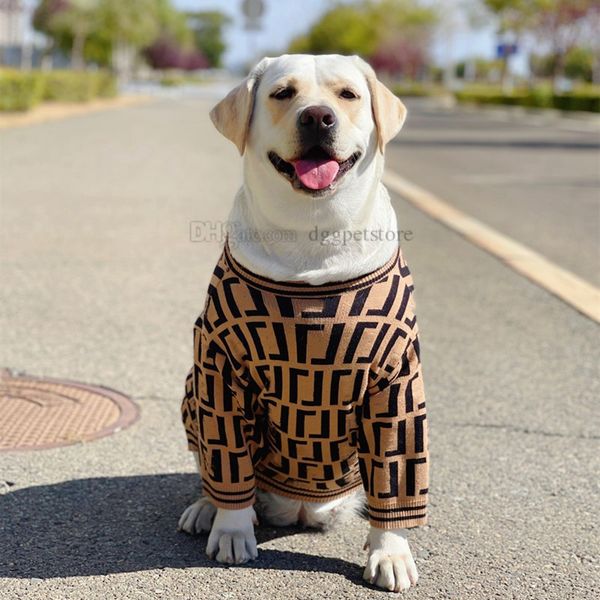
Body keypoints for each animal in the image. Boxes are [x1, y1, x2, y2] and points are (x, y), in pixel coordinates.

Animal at [177, 54, 426, 592]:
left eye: (348, 95)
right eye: (282, 93)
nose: (317, 117)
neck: (313, 233)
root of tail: (300, 510)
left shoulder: (396, 385)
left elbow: (396, 478)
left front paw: (390, 552)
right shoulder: (219, 370)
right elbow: (227, 459)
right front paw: (231, 528)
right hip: (191, 390)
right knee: (214, 469)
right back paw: (209, 509)